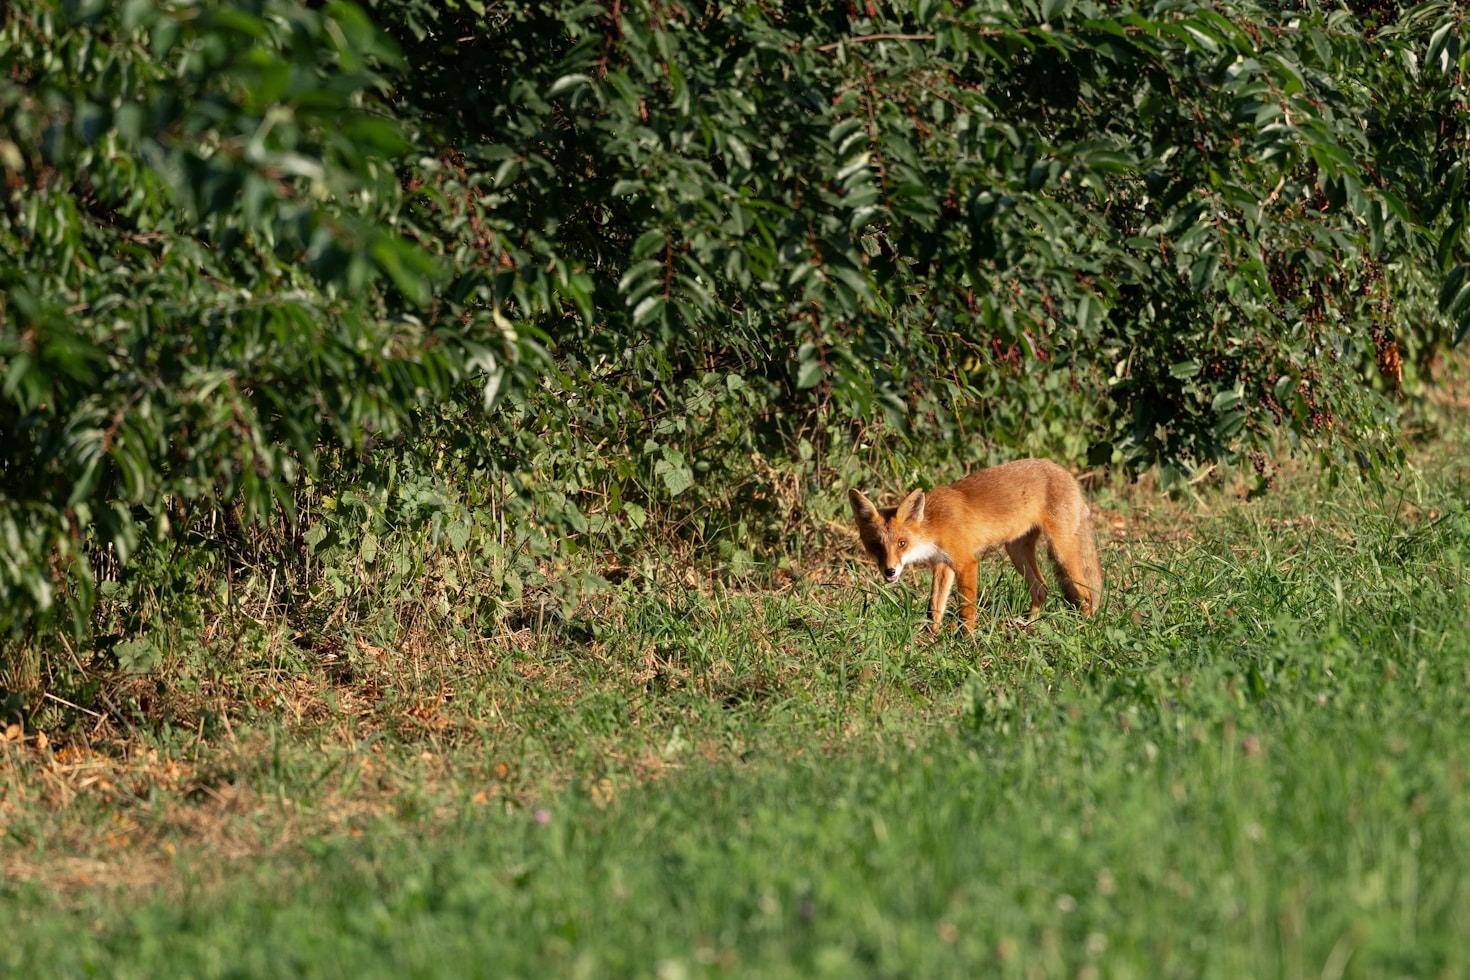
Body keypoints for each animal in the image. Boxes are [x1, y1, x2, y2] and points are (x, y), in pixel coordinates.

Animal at [848, 458, 1102, 632]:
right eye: (877, 546)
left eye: (902, 543)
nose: (890, 571)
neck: (935, 525)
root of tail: (1064, 471)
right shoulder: (942, 564)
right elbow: (935, 607)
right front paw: (932, 637)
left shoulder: (966, 563)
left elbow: (966, 609)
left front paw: (967, 640)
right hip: (1016, 552)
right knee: (1041, 588)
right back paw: (1029, 626)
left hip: (1061, 551)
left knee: (1085, 594)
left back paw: (1086, 629)